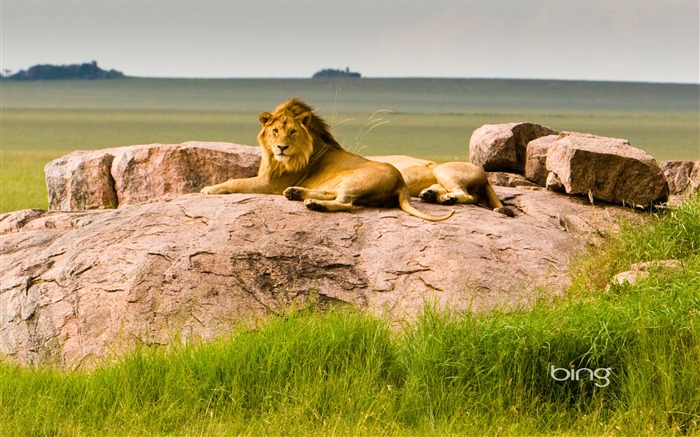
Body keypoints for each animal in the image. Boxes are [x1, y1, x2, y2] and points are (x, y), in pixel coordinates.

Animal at [201, 99, 454, 221]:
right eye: (275, 131)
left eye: (292, 132)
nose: (282, 147)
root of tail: (401, 183)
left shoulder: (270, 183)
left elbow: (236, 181)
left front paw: (209, 189)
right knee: (333, 194)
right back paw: (297, 193)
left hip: (355, 179)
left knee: (345, 203)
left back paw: (314, 204)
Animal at [366, 154, 508, 214]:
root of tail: (486, 179)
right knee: (472, 197)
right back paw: (433, 196)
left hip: (441, 169)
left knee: (466, 195)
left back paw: (445, 198)